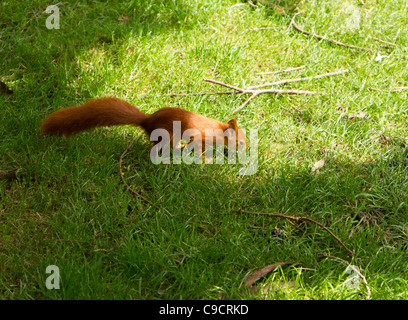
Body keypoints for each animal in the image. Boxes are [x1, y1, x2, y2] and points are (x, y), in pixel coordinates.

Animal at [39, 96, 247, 154]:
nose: (247, 149)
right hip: (168, 135)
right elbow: (198, 146)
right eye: (241, 142)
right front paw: (206, 158)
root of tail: (146, 121)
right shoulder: (202, 137)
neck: (219, 130)